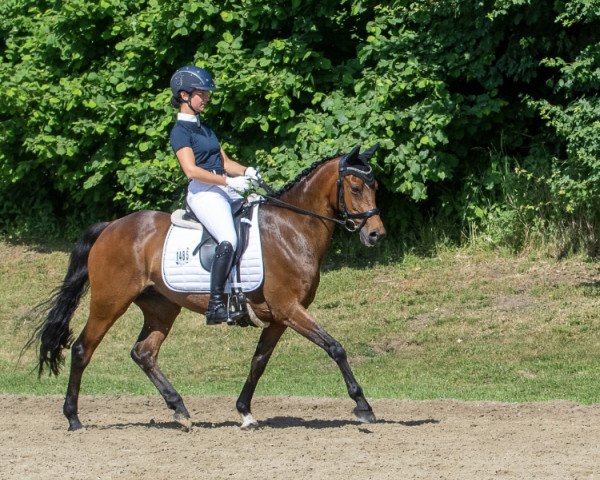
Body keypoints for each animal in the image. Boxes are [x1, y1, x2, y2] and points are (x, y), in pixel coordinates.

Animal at [29, 144, 384, 430]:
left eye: (375, 186)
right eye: (355, 187)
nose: (376, 234)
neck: (292, 228)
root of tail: (109, 228)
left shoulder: (279, 317)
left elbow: (259, 361)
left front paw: (245, 412)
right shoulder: (289, 309)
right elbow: (335, 347)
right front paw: (363, 406)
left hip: (161, 307)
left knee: (144, 353)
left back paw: (180, 410)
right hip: (109, 302)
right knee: (82, 349)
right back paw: (74, 418)